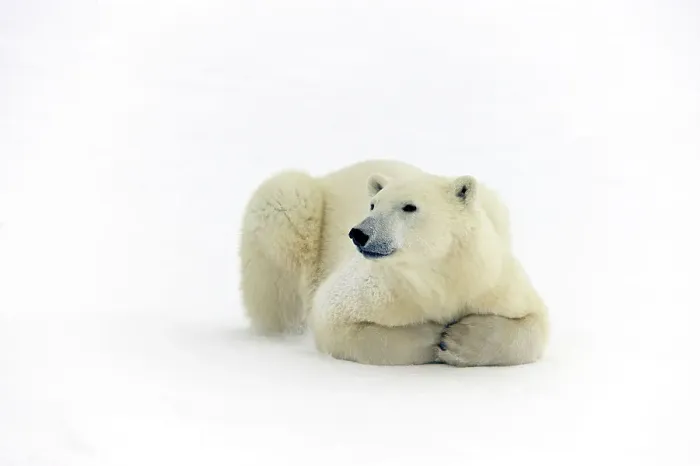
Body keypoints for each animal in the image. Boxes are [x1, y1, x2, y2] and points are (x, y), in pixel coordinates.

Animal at [239, 159, 549, 366]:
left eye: (409, 207)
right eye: (373, 204)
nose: (359, 233)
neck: (438, 275)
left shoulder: (488, 280)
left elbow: (535, 323)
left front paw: (461, 339)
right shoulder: (382, 288)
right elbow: (336, 320)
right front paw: (436, 337)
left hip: (495, 207)